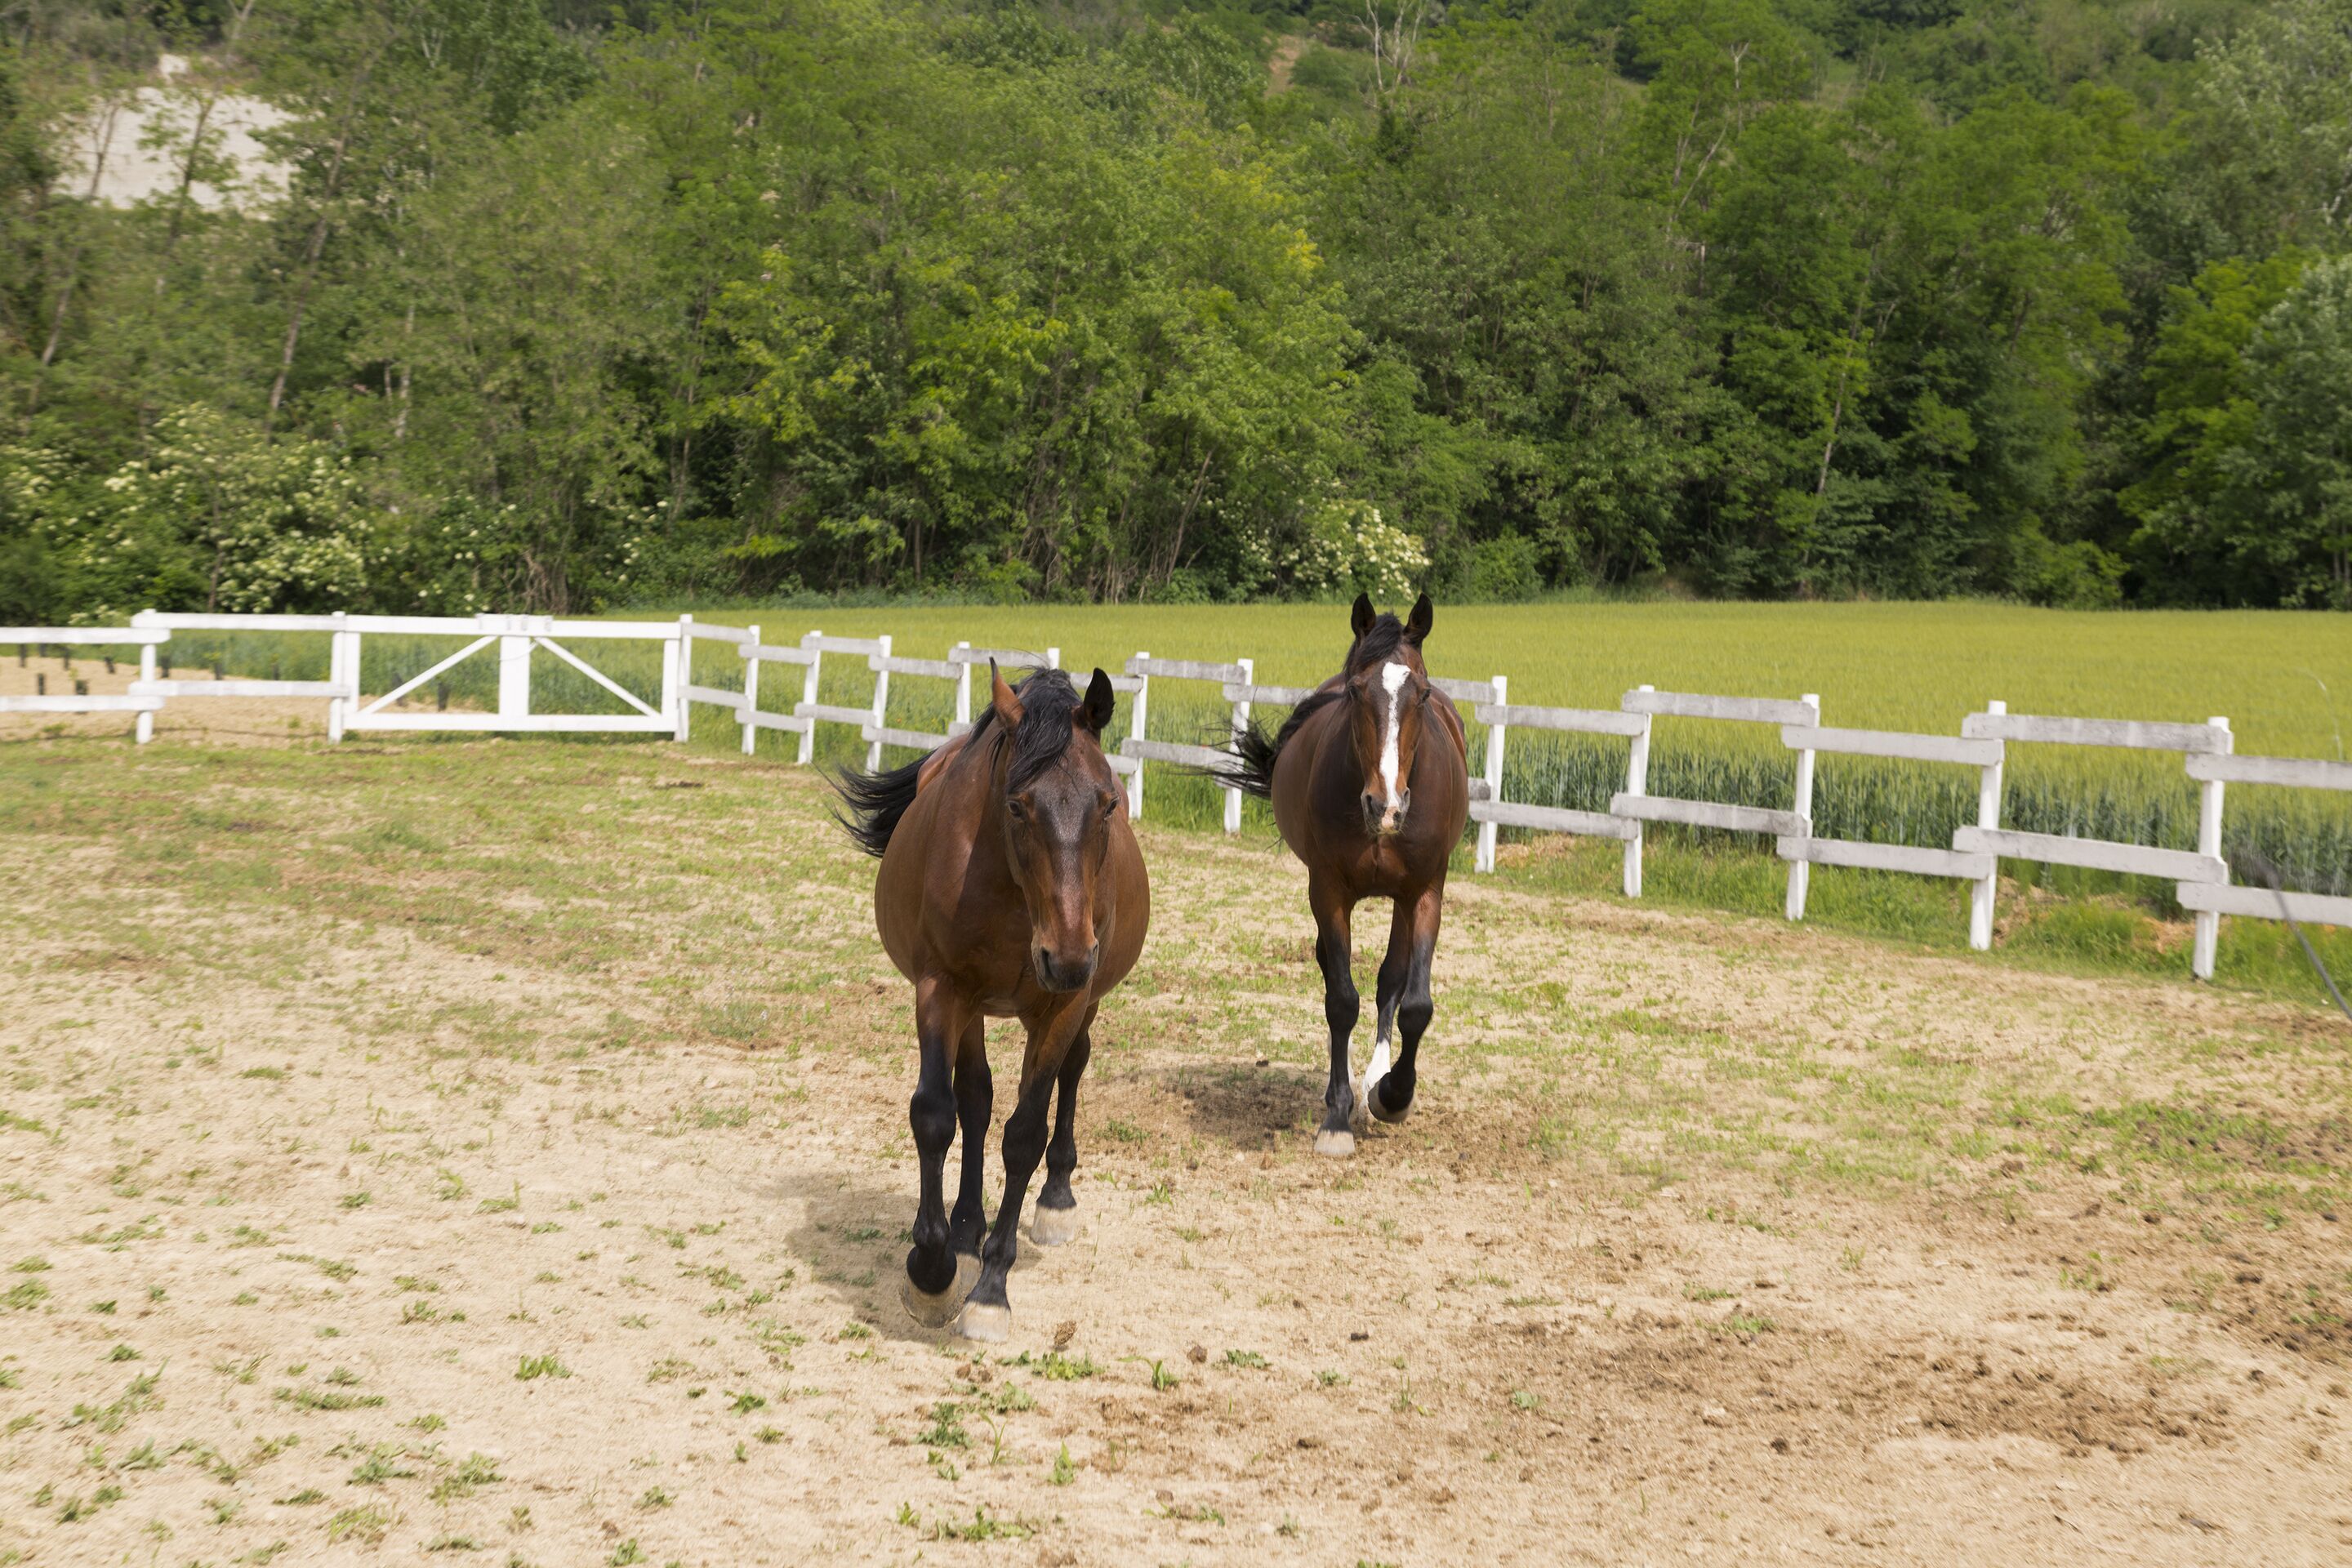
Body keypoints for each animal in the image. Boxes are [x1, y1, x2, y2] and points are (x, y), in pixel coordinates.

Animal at [832, 662, 1150, 1342]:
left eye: (1108, 804)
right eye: (1017, 805)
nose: (1067, 957)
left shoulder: (1061, 1008)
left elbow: (1024, 1134)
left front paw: (991, 1290)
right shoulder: (942, 989)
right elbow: (937, 1113)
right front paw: (932, 1269)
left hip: (1080, 1004)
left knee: (1072, 1074)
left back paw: (1056, 1199)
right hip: (975, 1007)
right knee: (975, 1100)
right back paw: (965, 1225)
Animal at [1217, 593, 1468, 1157]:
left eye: (1422, 693)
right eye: (1358, 691)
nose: (1386, 806)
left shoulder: (1424, 892)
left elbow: (1414, 1003)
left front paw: (1393, 1096)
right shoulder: (1329, 891)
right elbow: (1340, 999)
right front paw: (1337, 1116)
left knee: (1391, 980)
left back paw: (1376, 1078)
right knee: (1337, 974)